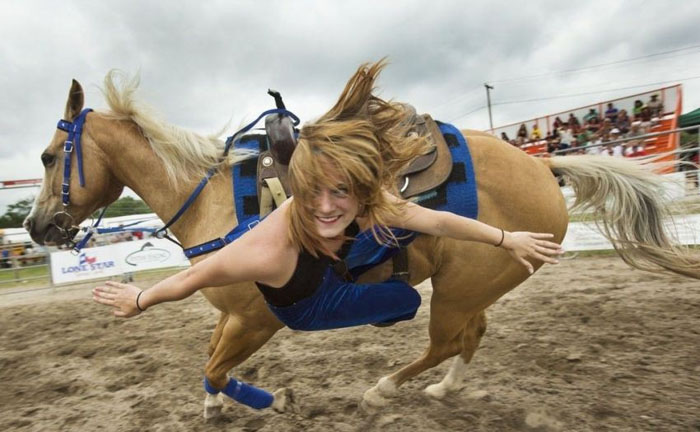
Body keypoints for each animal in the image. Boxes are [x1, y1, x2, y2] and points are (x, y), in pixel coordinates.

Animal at [24, 71, 696, 418]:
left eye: (51, 156)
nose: (35, 227)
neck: (216, 200)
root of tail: (544, 169)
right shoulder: (232, 313)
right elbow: (208, 361)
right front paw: (215, 407)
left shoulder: (257, 319)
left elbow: (216, 365)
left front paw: (269, 400)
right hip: (474, 285)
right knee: (471, 336)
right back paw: (444, 390)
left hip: (457, 289)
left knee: (446, 339)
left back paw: (384, 389)